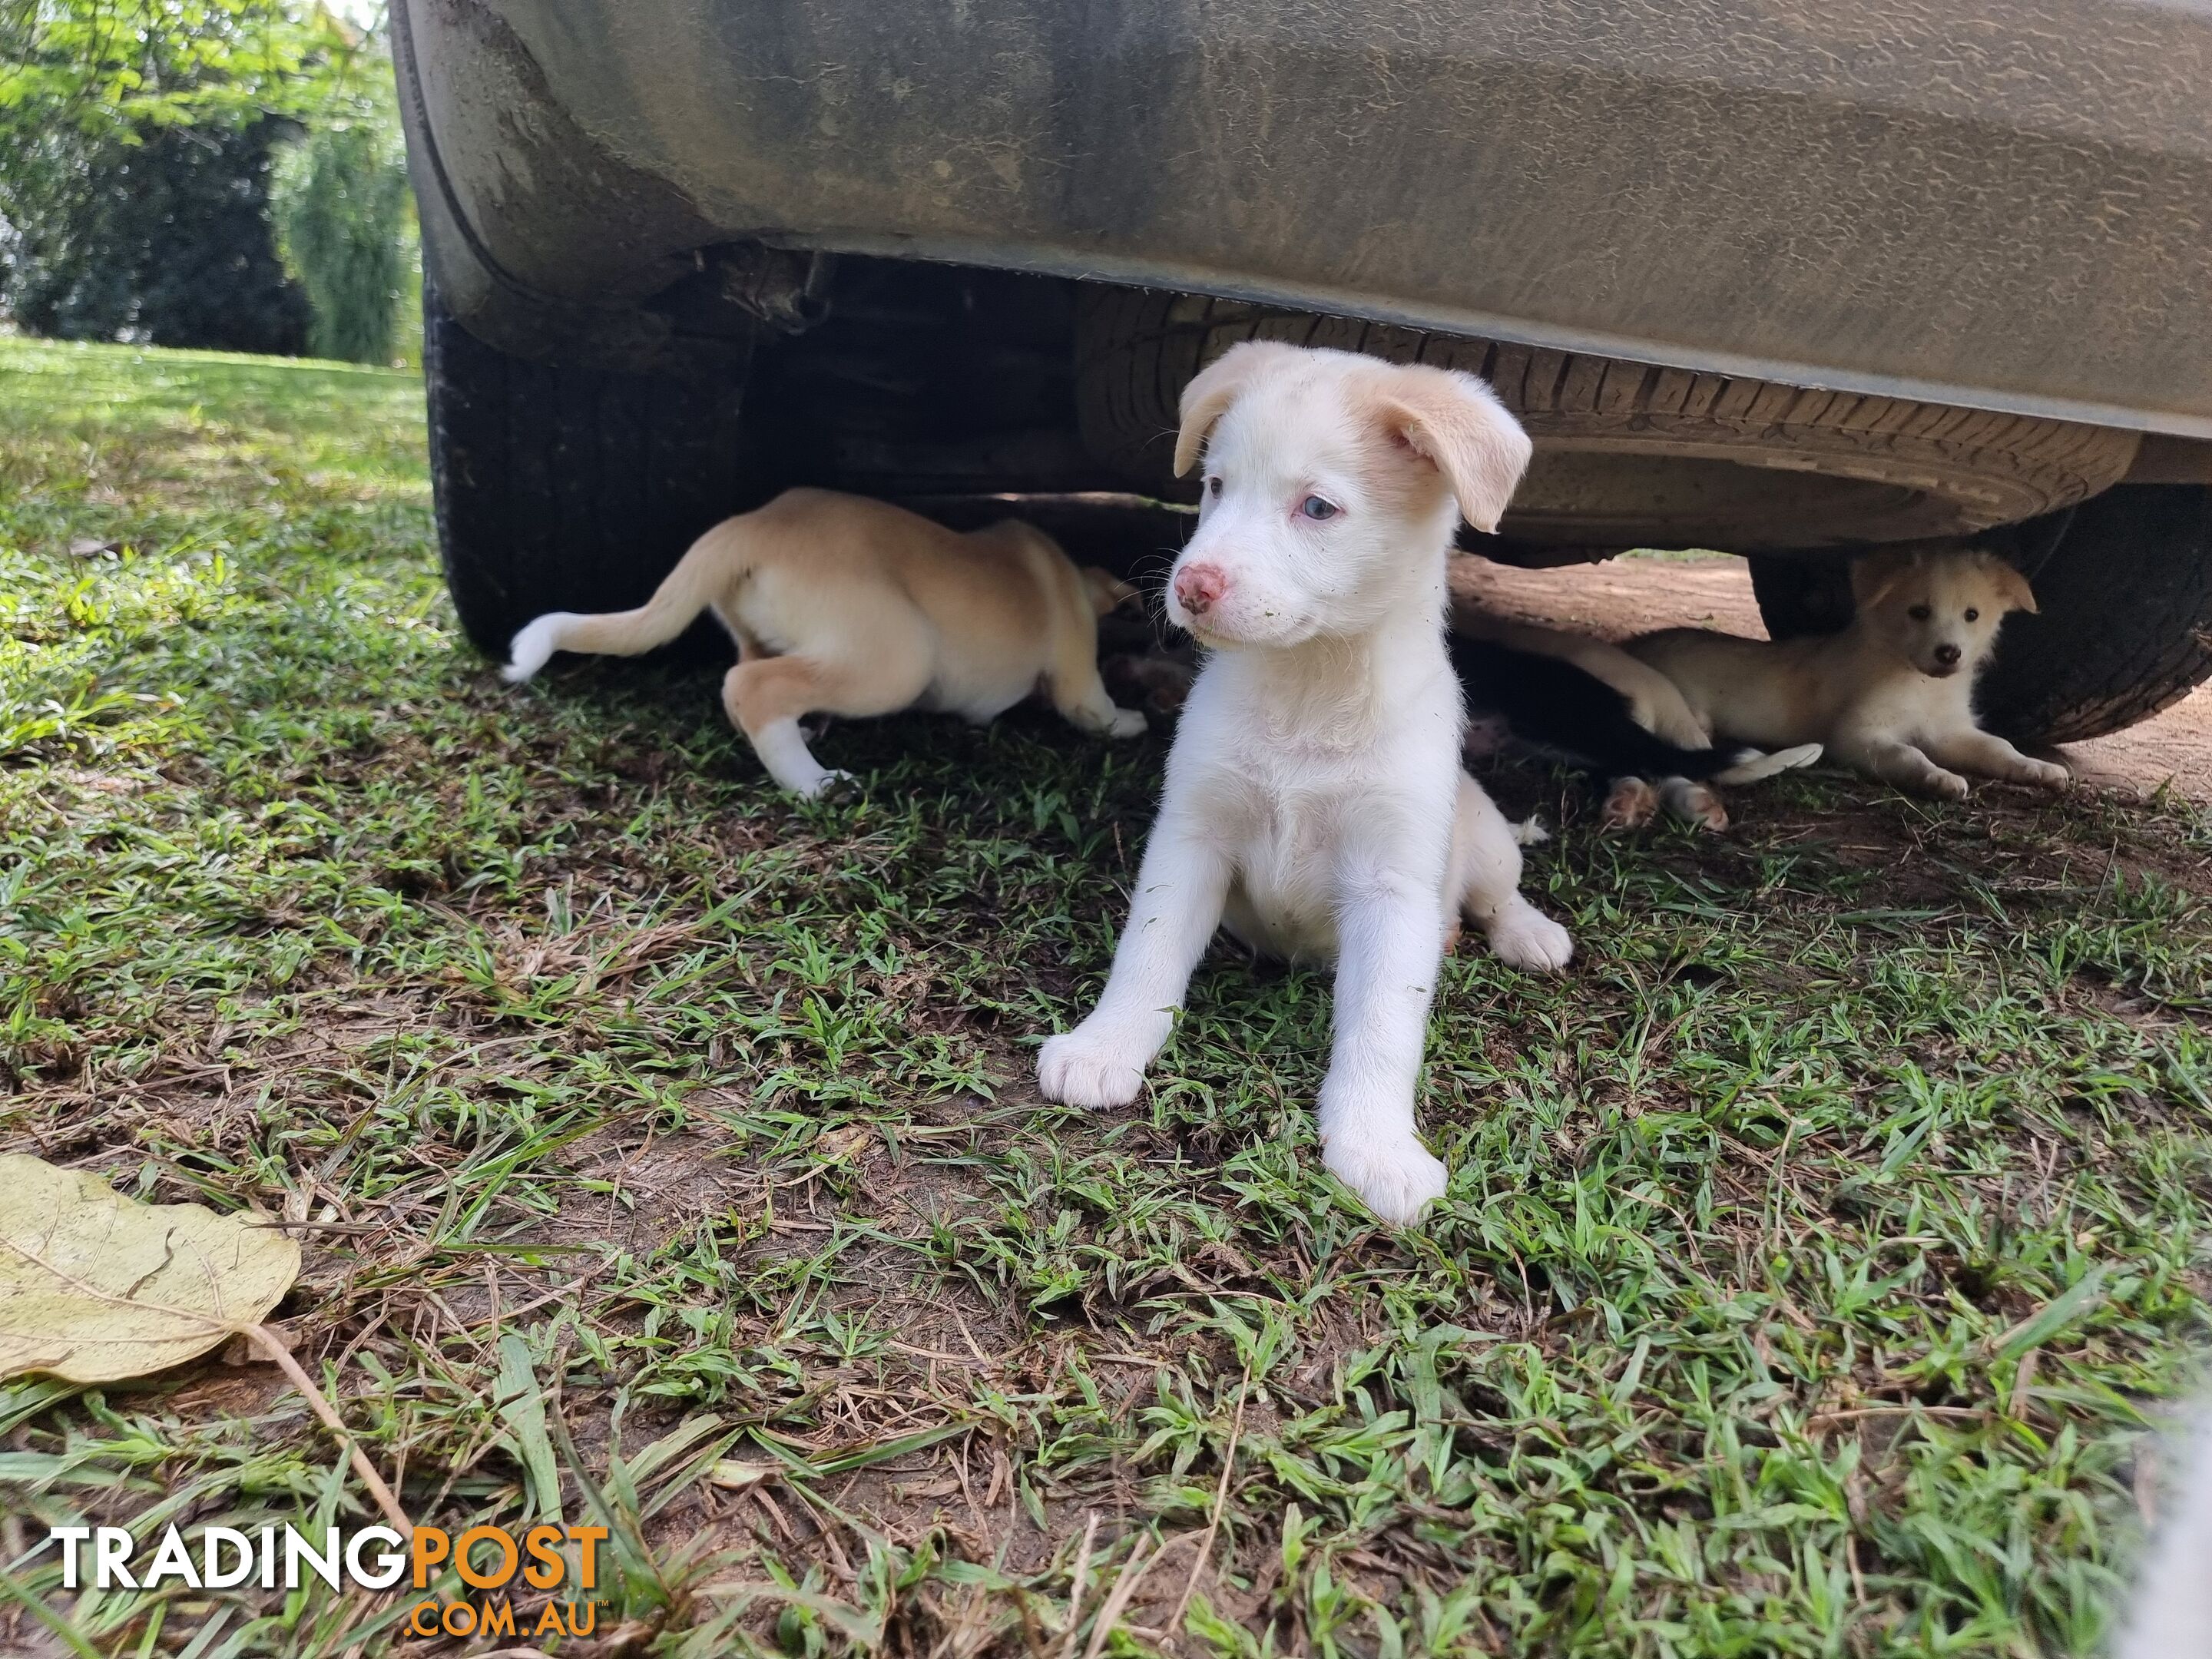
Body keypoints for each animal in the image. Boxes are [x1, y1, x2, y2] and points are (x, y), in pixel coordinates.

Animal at [504, 486, 1150, 800]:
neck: (1071, 576)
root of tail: (751, 525)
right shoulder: (1075, 672)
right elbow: (1094, 707)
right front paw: (1131, 722)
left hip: (765, 636)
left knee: (749, 683)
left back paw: (804, 736)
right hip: (898, 657)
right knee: (752, 687)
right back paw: (811, 782)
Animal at [1035, 340, 1575, 1220]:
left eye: (1317, 508)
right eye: (1216, 486)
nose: (1190, 587)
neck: (1309, 691)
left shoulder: (1392, 886)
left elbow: (1382, 1029)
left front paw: (1376, 1146)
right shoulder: (1192, 839)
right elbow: (1147, 955)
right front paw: (1105, 1045)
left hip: (1485, 833)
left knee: (1499, 893)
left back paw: (1527, 932)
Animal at [1619, 546, 2061, 805]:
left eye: (1972, 614)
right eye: (1918, 612)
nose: (1949, 654)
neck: (1918, 684)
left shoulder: (1949, 730)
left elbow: (1999, 746)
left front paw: (2037, 768)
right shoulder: (1856, 736)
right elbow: (1908, 753)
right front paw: (1937, 777)